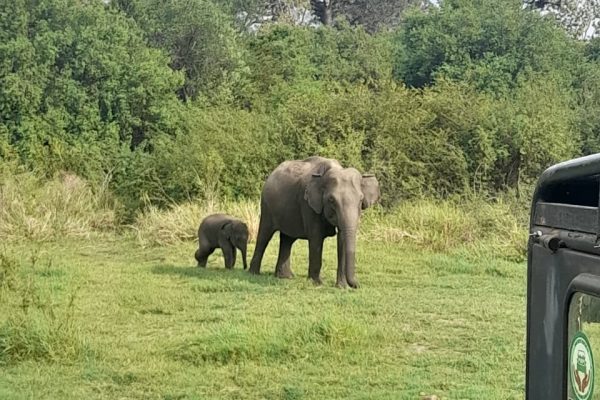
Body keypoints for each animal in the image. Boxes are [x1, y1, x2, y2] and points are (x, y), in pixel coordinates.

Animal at [248, 156, 380, 288]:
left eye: (361, 199)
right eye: (331, 200)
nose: (358, 285)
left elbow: (342, 239)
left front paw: (342, 287)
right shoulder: (308, 205)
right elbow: (316, 238)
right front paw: (317, 283)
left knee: (287, 239)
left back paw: (285, 277)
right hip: (266, 206)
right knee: (264, 236)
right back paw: (254, 273)